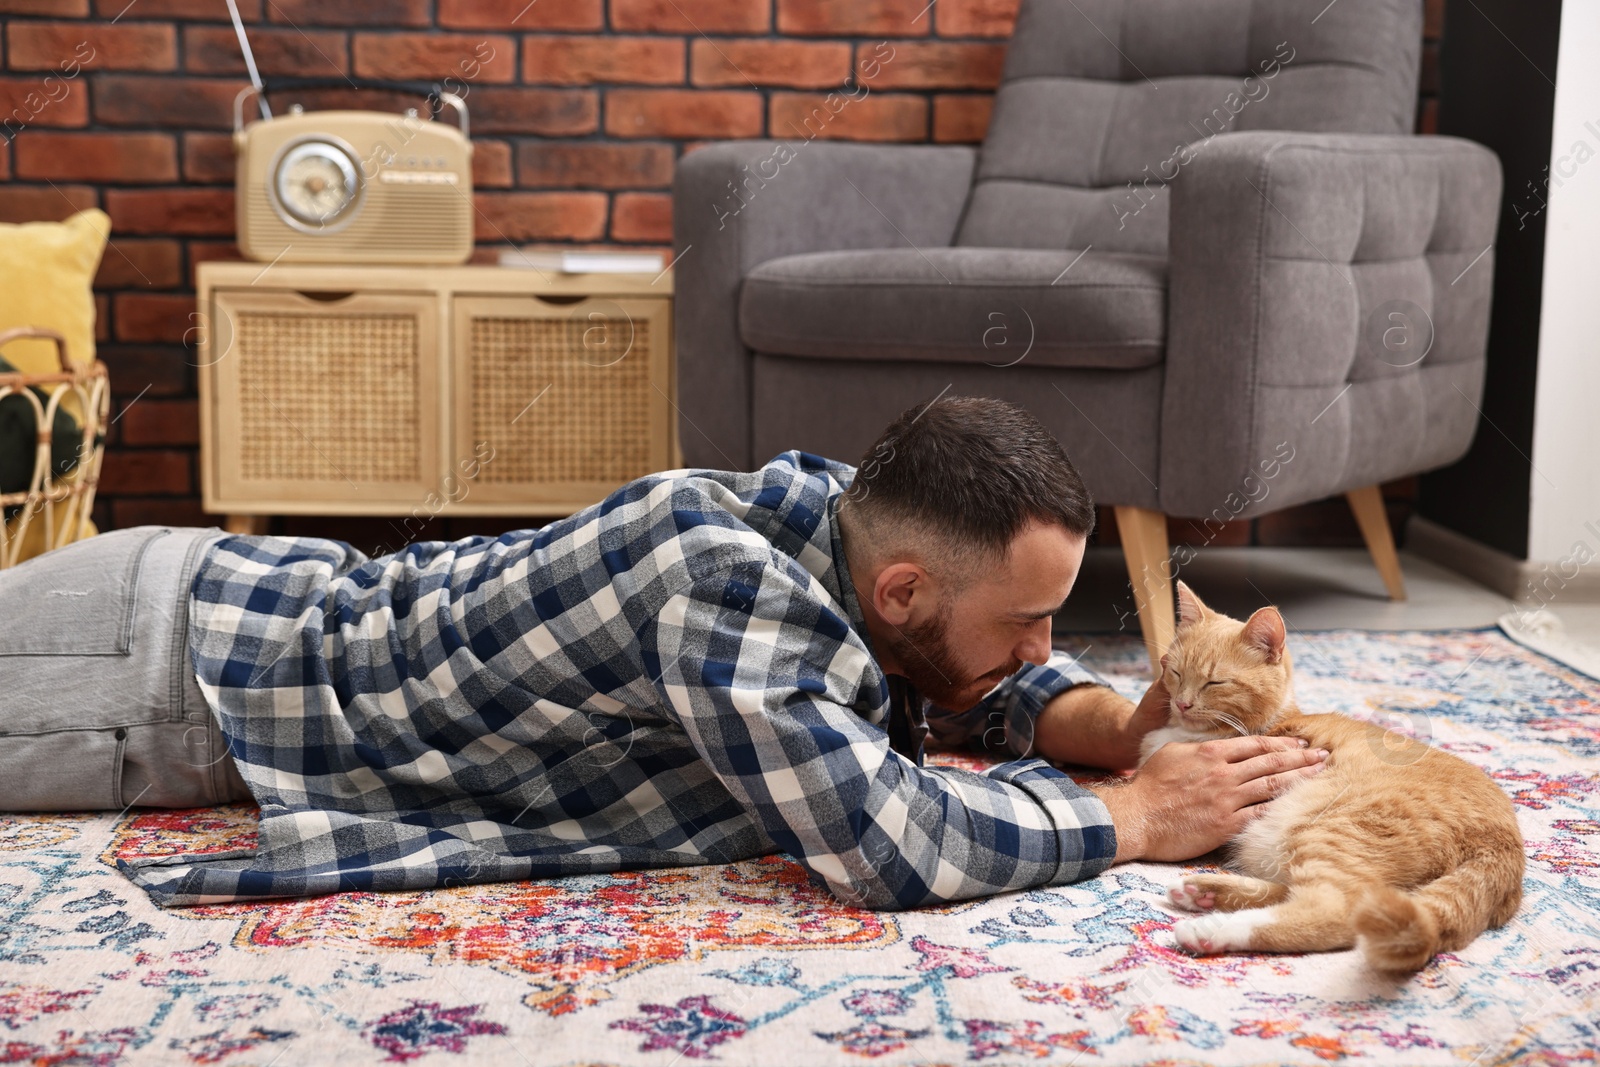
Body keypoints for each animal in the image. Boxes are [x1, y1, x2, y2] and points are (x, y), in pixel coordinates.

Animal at [1139, 585, 1523, 979]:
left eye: (1215, 682)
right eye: (1175, 672)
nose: (1182, 704)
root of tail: (1504, 839)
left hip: (1329, 828)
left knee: (1332, 912)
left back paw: (1209, 930)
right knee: (1300, 892)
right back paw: (1203, 892)